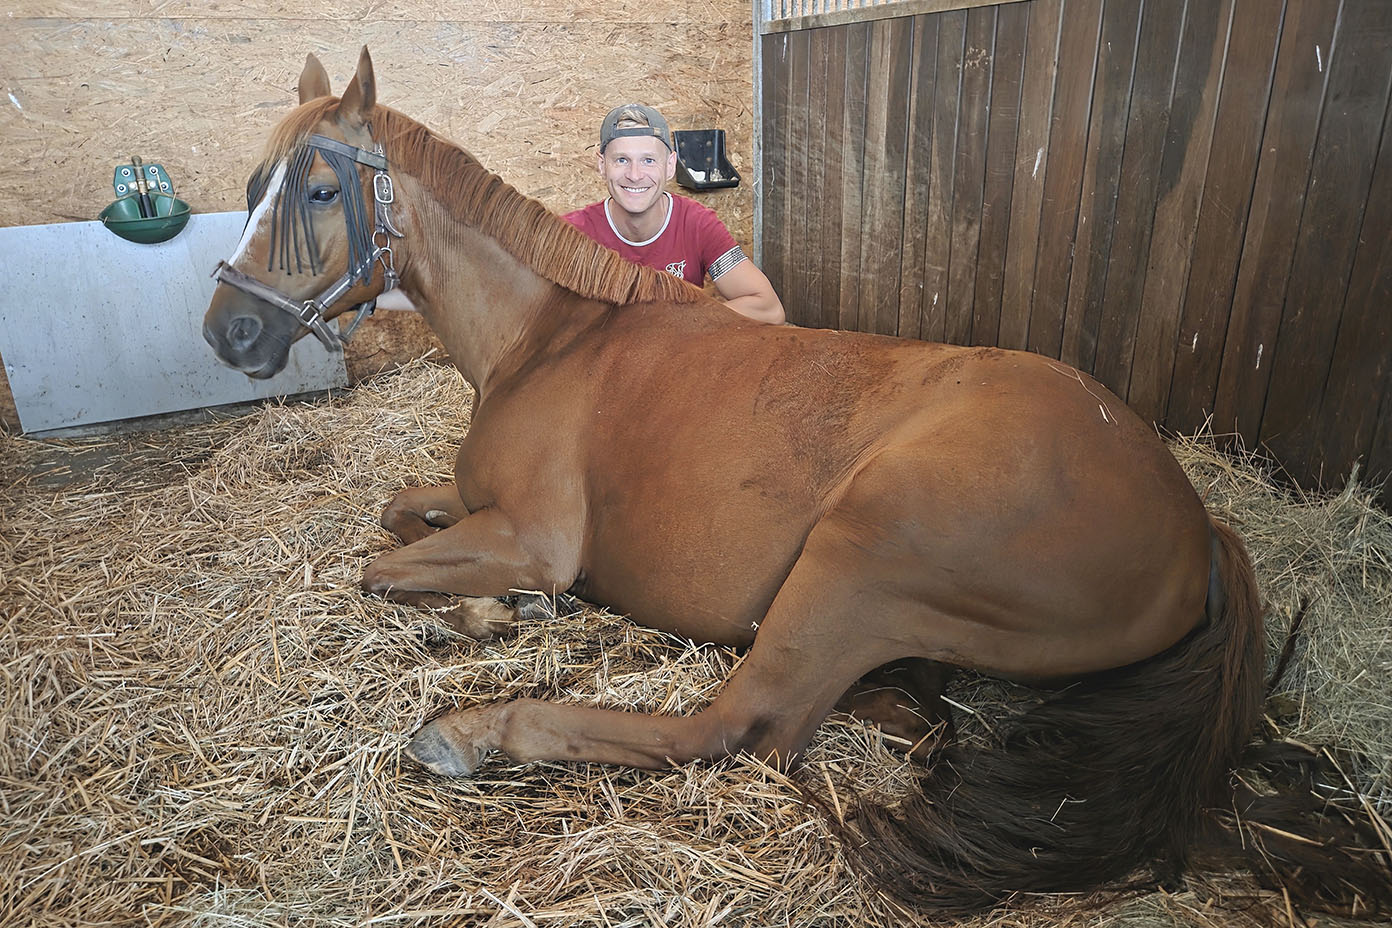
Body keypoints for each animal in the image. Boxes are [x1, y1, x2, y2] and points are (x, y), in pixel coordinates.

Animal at [203, 48, 1367, 916]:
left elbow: (380, 567)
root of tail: (1197, 524)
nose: (229, 332)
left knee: (739, 726)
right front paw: (496, 608)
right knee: (888, 714)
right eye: (254, 187)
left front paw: (495, 612)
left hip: (856, 557)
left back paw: (477, 732)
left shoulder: (534, 532)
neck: (550, 340)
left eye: (318, 190)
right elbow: (398, 516)